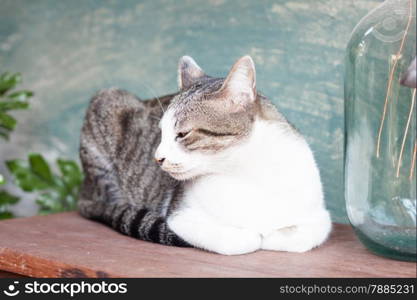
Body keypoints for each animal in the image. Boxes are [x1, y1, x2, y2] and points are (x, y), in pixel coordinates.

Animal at [79, 55, 332, 254]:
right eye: (160, 132)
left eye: (182, 134)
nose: (157, 158)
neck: (246, 172)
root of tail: (84, 188)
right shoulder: (180, 216)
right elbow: (240, 240)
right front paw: (254, 235)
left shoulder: (320, 217)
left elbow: (300, 236)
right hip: (106, 102)